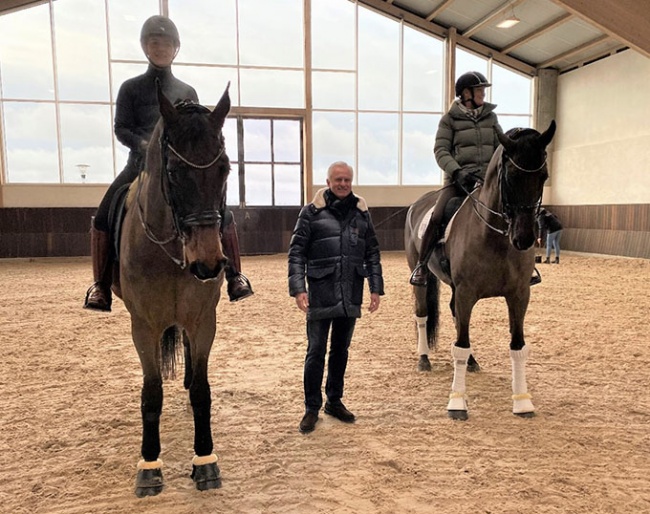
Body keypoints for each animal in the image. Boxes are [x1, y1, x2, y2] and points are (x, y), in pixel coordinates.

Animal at [112, 82, 232, 494]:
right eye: (176, 172)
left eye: (225, 169)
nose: (208, 263)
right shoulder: (142, 327)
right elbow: (151, 394)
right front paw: (149, 466)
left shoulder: (204, 320)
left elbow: (202, 390)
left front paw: (205, 460)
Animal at [404, 121, 552, 420]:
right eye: (510, 177)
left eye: (543, 175)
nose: (524, 239)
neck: (495, 236)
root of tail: (418, 205)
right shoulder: (466, 293)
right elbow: (460, 345)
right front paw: (457, 403)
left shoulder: (519, 295)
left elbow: (517, 346)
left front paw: (522, 402)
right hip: (421, 278)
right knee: (422, 314)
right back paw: (423, 358)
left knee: (455, 318)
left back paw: (472, 362)